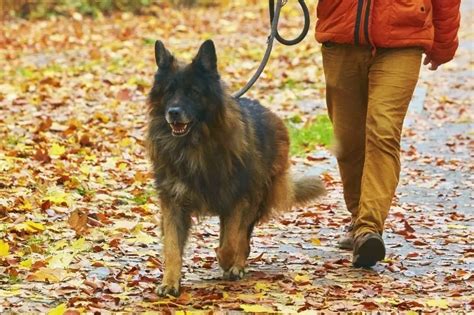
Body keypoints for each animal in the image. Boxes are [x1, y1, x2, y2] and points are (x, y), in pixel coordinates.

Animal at [148, 40, 326, 296]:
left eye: (193, 92)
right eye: (169, 92)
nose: (173, 113)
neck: (195, 146)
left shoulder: (239, 199)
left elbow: (232, 243)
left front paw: (228, 262)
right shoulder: (174, 202)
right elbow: (173, 247)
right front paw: (170, 282)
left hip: (257, 197)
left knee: (243, 237)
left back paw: (237, 266)